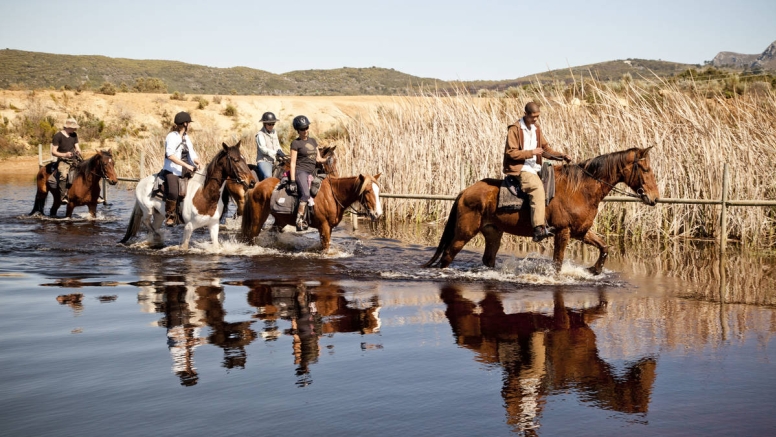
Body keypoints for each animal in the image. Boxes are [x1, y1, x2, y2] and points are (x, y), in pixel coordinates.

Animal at [121, 141, 255, 249]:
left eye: (244, 159)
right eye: (235, 160)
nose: (252, 182)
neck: (205, 196)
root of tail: (141, 182)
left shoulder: (213, 225)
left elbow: (216, 246)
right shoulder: (189, 226)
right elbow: (184, 247)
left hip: (158, 215)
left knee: (153, 226)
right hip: (147, 210)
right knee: (145, 221)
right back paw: (157, 237)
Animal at [238, 172, 380, 250]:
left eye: (378, 190)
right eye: (367, 191)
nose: (378, 214)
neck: (333, 195)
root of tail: (256, 186)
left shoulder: (329, 228)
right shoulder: (324, 227)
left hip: (280, 221)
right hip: (258, 219)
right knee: (252, 236)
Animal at [424, 148, 660, 274]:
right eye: (645, 169)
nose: (655, 198)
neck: (580, 189)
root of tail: (464, 192)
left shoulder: (581, 232)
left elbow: (605, 247)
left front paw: (594, 270)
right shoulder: (563, 232)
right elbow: (557, 263)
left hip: (493, 233)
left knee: (488, 258)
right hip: (463, 233)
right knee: (448, 255)